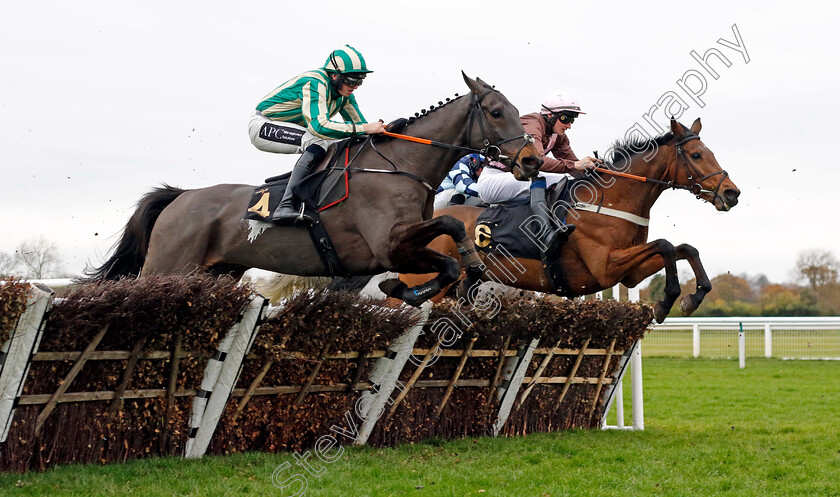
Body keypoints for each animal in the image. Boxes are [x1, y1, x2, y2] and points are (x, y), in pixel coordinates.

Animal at [87, 72, 544, 306]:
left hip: (218, 273)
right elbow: (449, 228)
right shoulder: (388, 245)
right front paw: (409, 288)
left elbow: (448, 253)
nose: (531, 161)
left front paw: (461, 271)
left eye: (518, 111)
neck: (399, 167)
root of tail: (180, 197)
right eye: (496, 112)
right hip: (168, 266)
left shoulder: (402, 246)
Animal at [398, 119, 740, 322]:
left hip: (459, 286)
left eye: (709, 151)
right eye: (696, 155)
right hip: (421, 283)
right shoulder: (605, 267)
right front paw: (667, 301)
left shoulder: (628, 274)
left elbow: (685, 248)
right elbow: (667, 244)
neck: (609, 200)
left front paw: (693, 298)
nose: (732, 193)